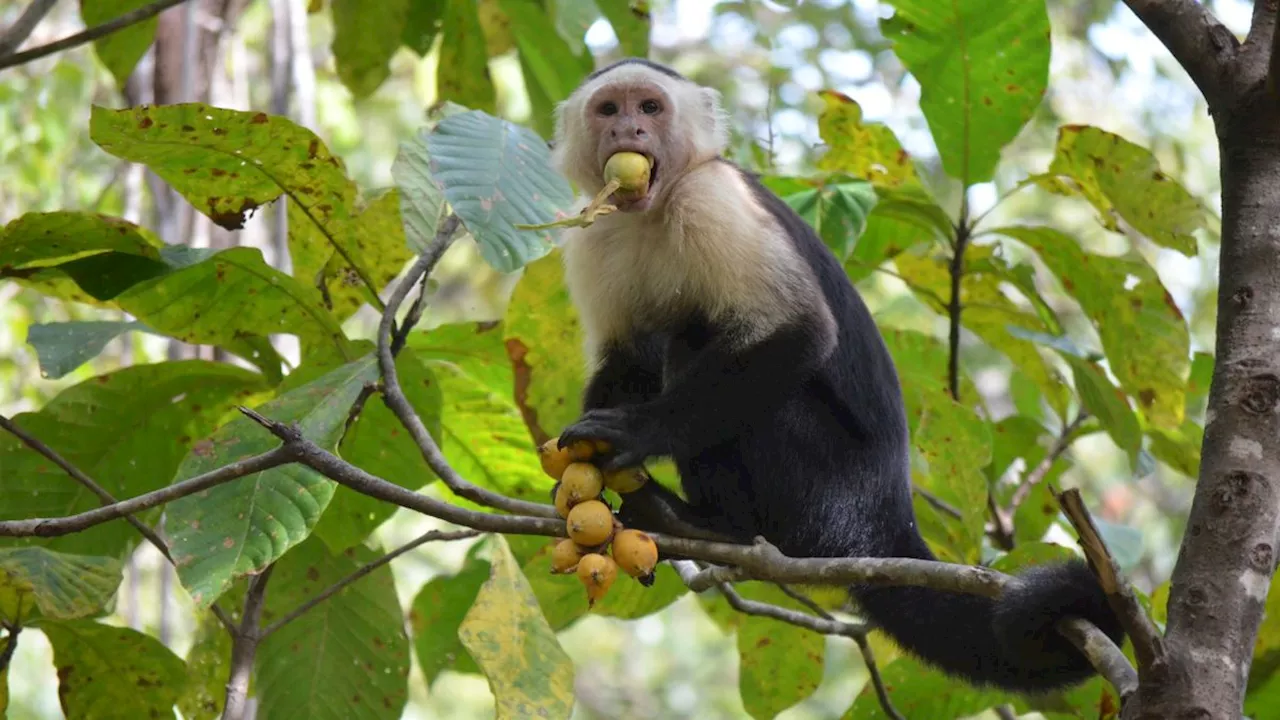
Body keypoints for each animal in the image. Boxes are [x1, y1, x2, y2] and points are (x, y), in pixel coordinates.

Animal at [547, 58, 1121, 691]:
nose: (629, 131)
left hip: (828, 493)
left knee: (706, 348)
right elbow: (625, 360)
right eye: (609, 109)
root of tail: (886, 517)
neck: (654, 207)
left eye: (650, 107)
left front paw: (639, 432)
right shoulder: (593, 232)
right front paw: (583, 467)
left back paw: (713, 524)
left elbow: (802, 334)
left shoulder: (712, 199)